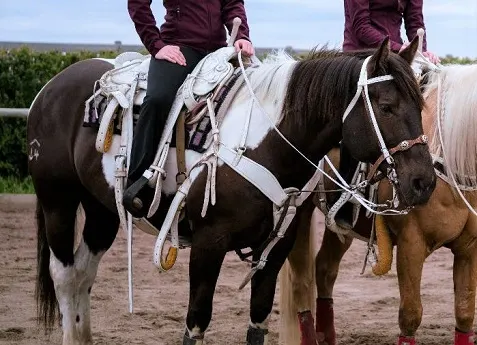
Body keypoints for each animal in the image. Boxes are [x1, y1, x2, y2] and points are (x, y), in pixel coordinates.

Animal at [27, 36, 436, 342]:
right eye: (386, 106)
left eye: (420, 103)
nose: (424, 182)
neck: (267, 141)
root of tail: (50, 87)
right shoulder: (209, 243)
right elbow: (196, 321)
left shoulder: (276, 247)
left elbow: (258, 320)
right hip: (58, 201)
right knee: (64, 275)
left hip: (101, 210)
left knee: (83, 274)